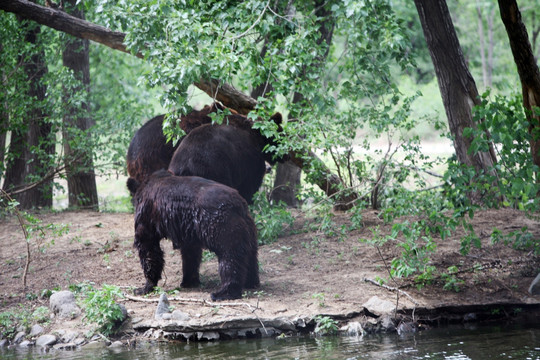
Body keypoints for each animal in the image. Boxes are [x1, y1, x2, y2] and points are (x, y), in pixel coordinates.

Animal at [127, 170, 260, 300]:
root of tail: (239, 204)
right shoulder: (187, 227)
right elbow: (191, 253)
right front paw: (189, 281)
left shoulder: (147, 216)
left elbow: (148, 247)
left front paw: (145, 287)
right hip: (248, 228)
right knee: (251, 254)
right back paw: (251, 282)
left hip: (223, 227)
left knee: (230, 257)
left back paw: (223, 293)